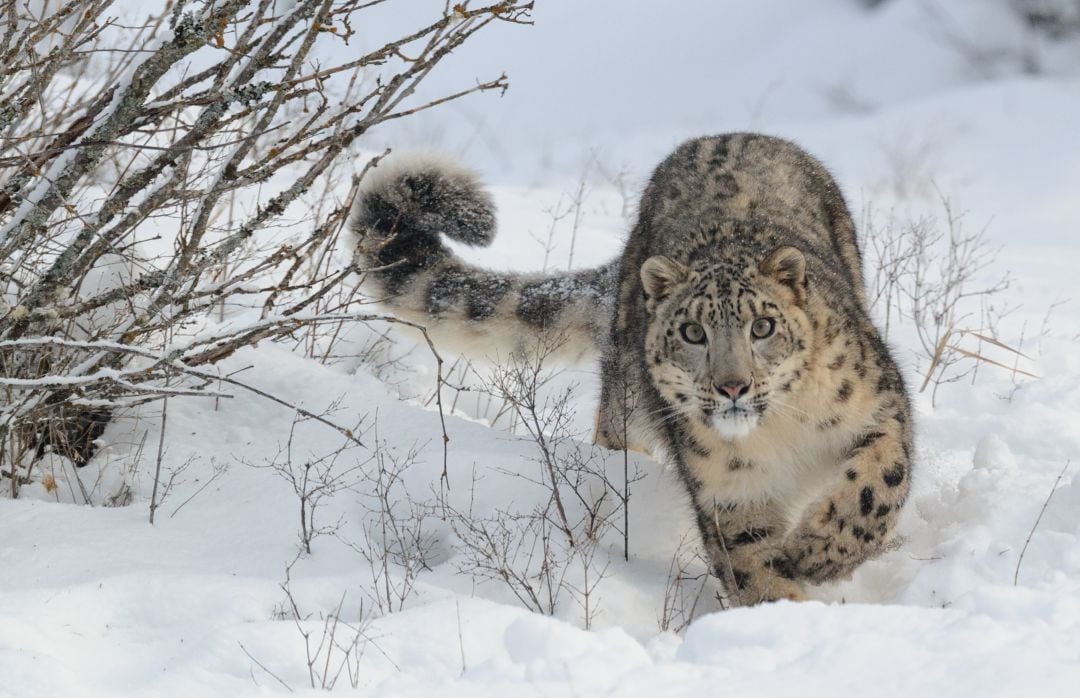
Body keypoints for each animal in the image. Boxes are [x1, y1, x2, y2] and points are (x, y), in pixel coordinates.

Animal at [349, 133, 914, 606]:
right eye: (693, 333)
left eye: (763, 327)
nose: (732, 386)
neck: (778, 432)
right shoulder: (729, 489)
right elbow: (752, 564)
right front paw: (784, 610)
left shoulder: (880, 403)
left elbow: (878, 484)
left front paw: (818, 552)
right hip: (627, 403)